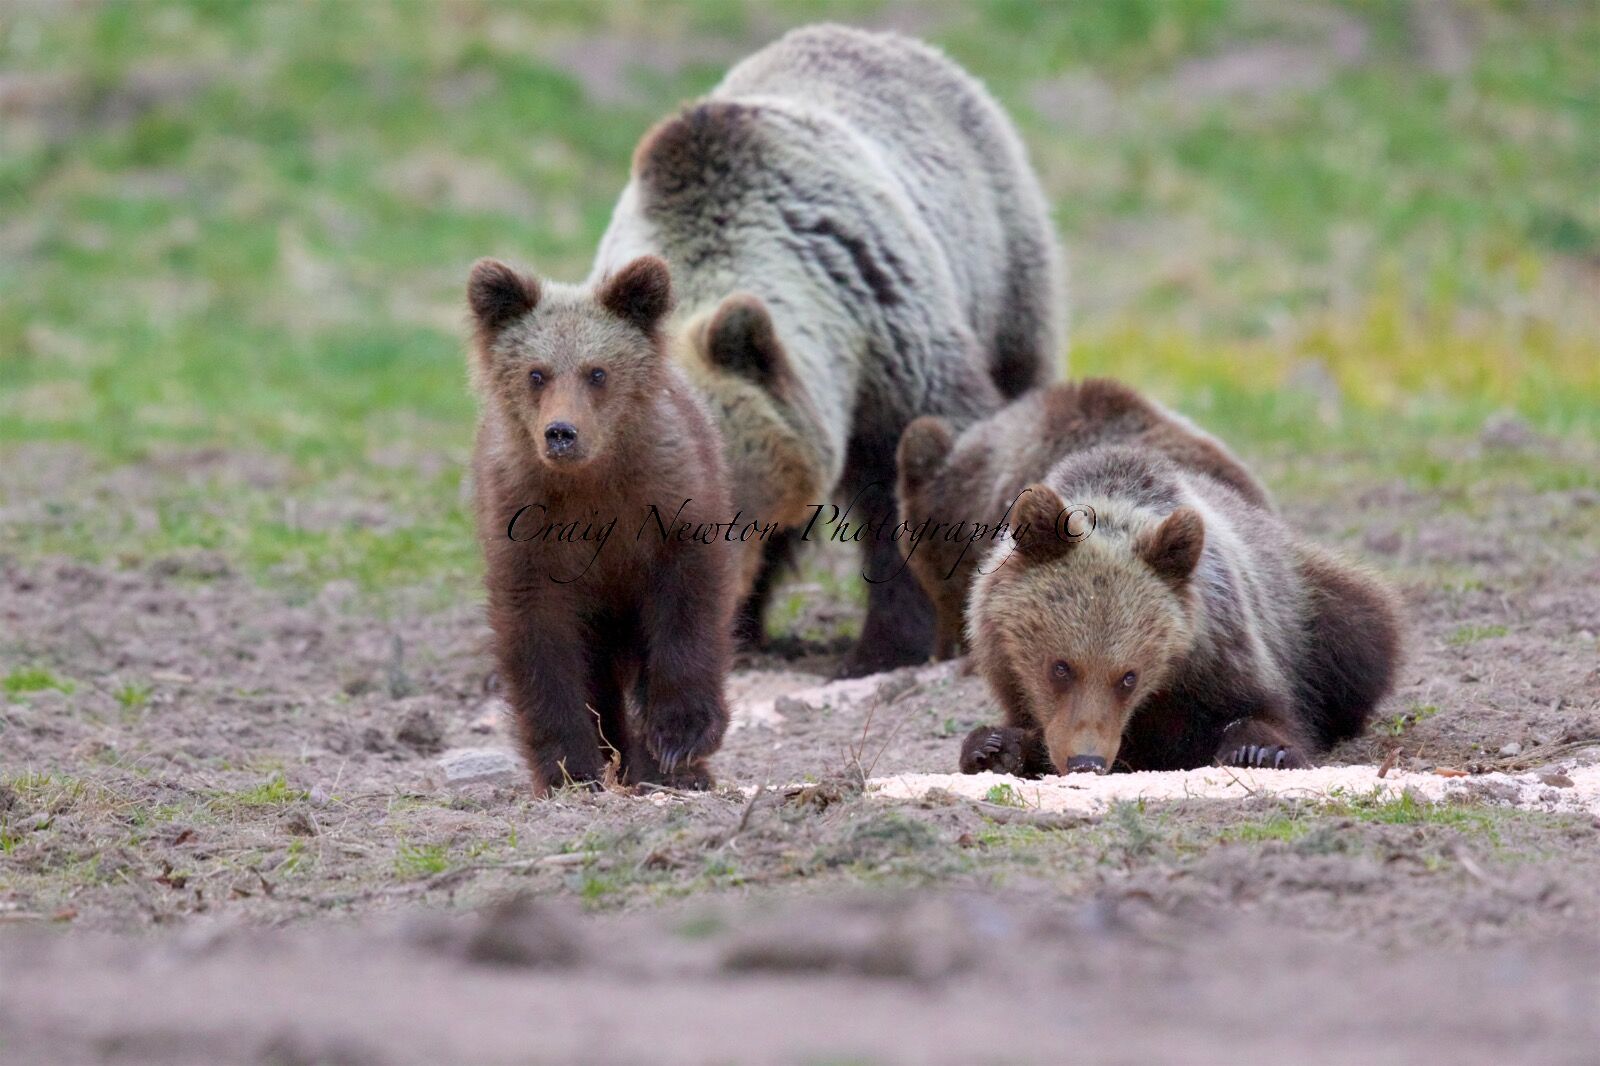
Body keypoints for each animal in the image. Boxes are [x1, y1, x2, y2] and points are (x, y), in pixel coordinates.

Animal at [466, 255, 735, 794]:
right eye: (537, 373)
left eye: (597, 371)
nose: (561, 433)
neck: (592, 483)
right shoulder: (528, 531)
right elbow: (541, 646)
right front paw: (569, 767)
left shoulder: (669, 507)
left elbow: (688, 610)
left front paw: (679, 739)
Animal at [957, 444, 1403, 776]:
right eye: (1061, 667)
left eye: (1129, 677)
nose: (1087, 760)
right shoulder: (1006, 669)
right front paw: (994, 748)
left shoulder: (1220, 649)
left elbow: (1267, 711)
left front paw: (1259, 750)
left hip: (1311, 606)